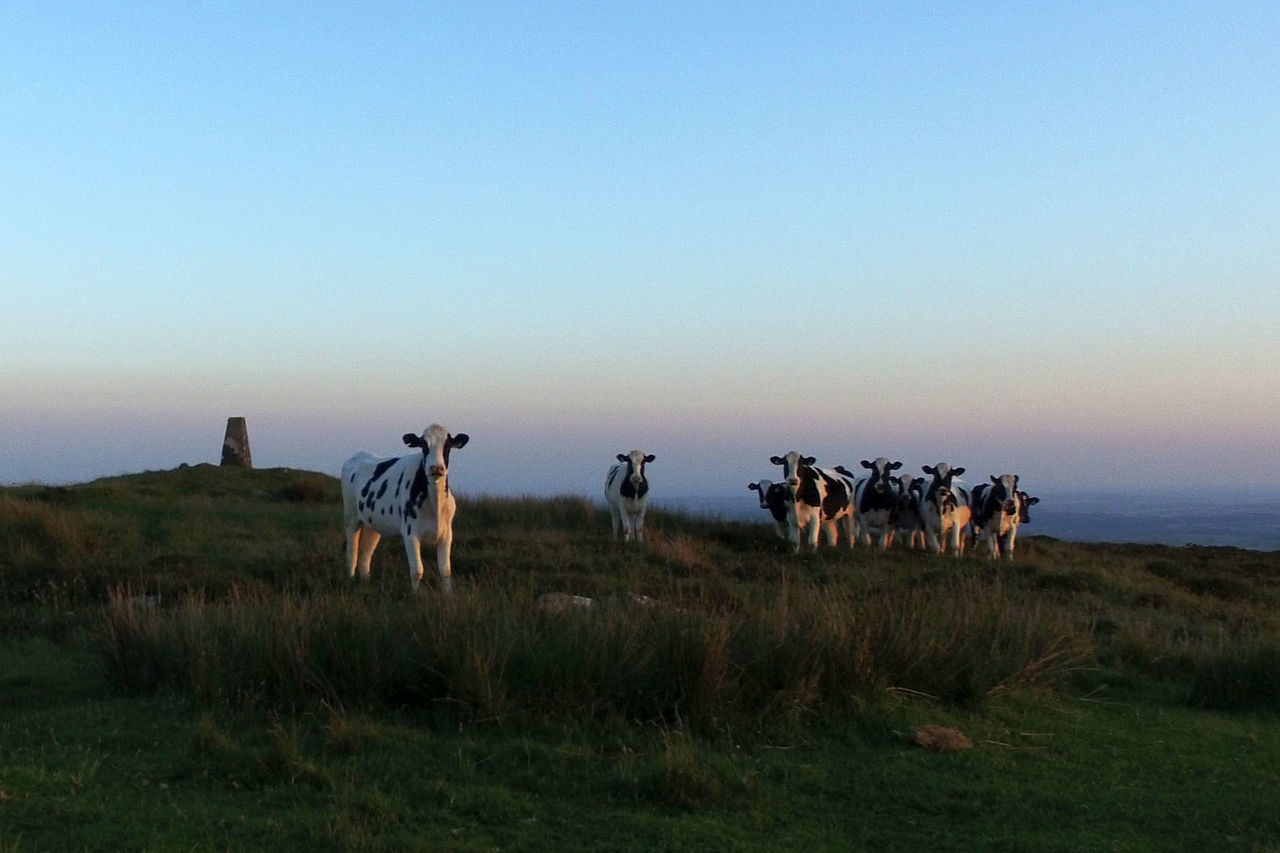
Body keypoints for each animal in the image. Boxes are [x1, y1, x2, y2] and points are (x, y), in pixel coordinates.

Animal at [343, 422, 473, 591]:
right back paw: (350, 581)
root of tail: (358, 455)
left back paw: (366, 582)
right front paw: (416, 594)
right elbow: (417, 570)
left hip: (373, 522)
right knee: (352, 551)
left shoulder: (446, 533)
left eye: (447, 446)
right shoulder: (410, 533)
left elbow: (446, 571)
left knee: (365, 553)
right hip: (351, 516)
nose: (436, 468)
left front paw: (448, 594)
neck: (435, 504)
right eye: (423, 445)